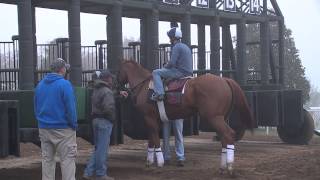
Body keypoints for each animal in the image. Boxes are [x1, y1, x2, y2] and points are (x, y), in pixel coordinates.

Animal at [116, 60, 254, 174]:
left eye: (118, 71)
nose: (117, 87)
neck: (145, 86)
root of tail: (225, 80)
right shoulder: (154, 119)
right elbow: (151, 139)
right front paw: (149, 162)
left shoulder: (149, 118)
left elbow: (154, 139)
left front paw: (159, 163)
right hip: (222, 118)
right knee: (224, 138)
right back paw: (223, 167)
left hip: (214, 118)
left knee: (228, 134)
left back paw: (229, 167)